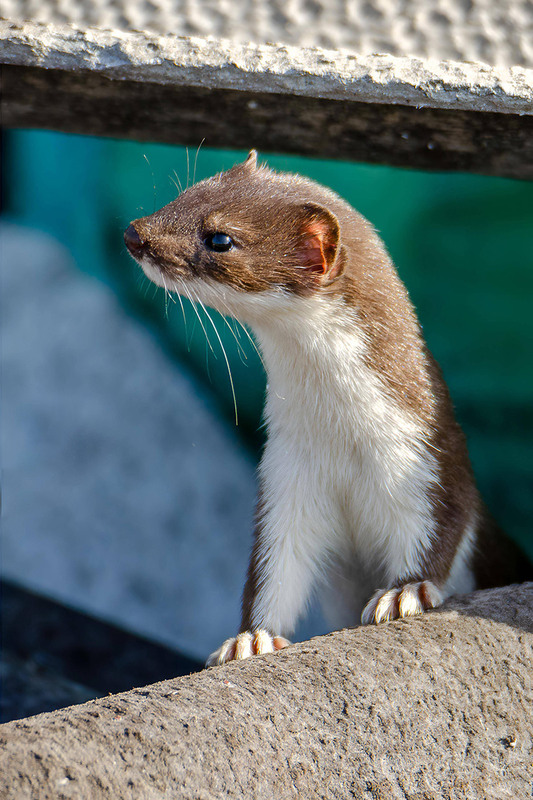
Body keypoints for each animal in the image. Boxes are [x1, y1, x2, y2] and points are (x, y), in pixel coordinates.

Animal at [123, 153, 528, 664]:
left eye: (220, 238)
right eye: (187, 191)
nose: (134, 233)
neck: (341, 437)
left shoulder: (426, 456)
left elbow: (443, 524)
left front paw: (406, 591)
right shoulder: (286, 476)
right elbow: (275, 569)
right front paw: (250, 638)